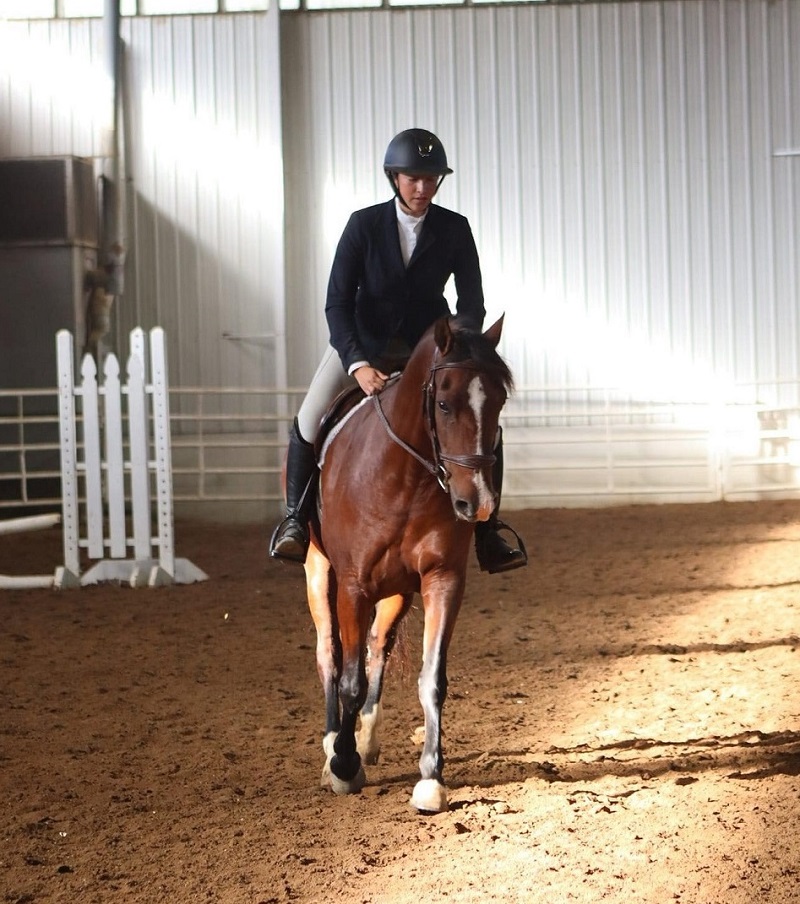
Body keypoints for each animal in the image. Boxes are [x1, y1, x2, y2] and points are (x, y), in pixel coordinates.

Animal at [304, 315, 513, 813]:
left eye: (499, 402)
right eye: (443, 404)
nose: (477, 504)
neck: (406, 479)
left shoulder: (443, 579)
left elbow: (431, 678)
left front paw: (431, 779)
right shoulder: (354, 585)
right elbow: (349, 680)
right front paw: (343, 767)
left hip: (396, 591)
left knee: (377, 645)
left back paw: (365, 739)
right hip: (320, 574)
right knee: (329, 655)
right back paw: (333, 746)